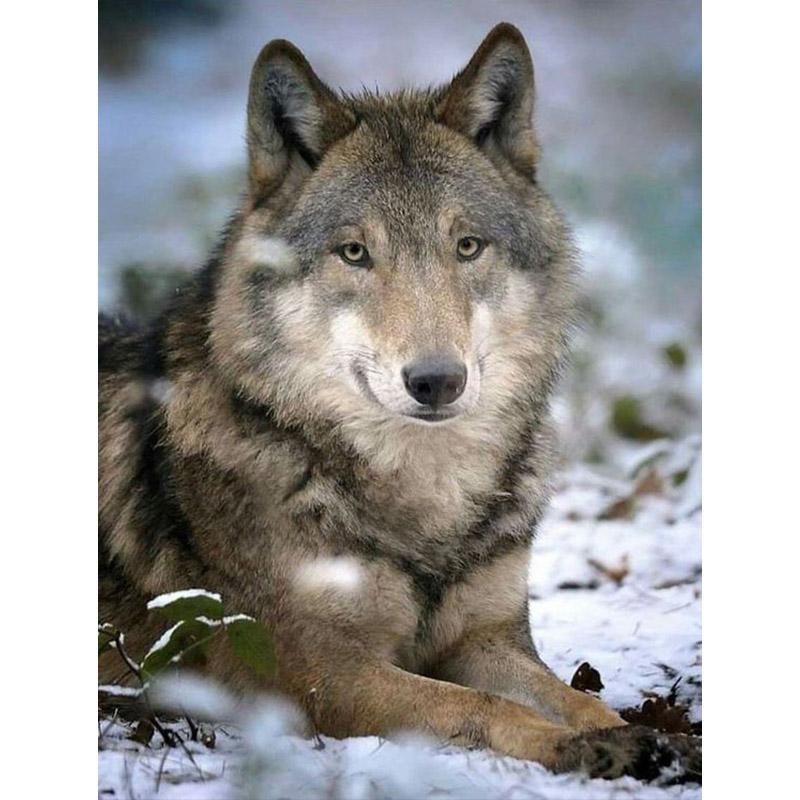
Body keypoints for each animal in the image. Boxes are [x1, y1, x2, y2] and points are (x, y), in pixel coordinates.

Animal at [99, 24, 700, 780]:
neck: (426, 497)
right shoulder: (325, 674)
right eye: (354, 253)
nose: (437, 380)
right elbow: (480, 707)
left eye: (467, 246)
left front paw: (647, 735)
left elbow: (571, 696)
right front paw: (584, 747)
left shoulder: (485, 638)